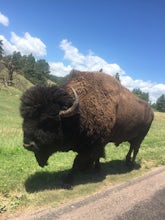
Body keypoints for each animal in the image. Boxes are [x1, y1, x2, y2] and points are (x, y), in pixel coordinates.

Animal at [20, 70, 154, 184]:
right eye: (24, 118)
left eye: (48, 121)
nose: (28, 145)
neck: (78, 114)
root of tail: (151, 112)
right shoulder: (97, 144)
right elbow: (96, 157)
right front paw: (94, 168)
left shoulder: (92, 145)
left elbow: (77, 161)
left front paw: (68, 179)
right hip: (133, 138)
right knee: (131, 148)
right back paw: (126, 161)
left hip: (141, 137)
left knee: (135, 149)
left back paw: (131, 164)